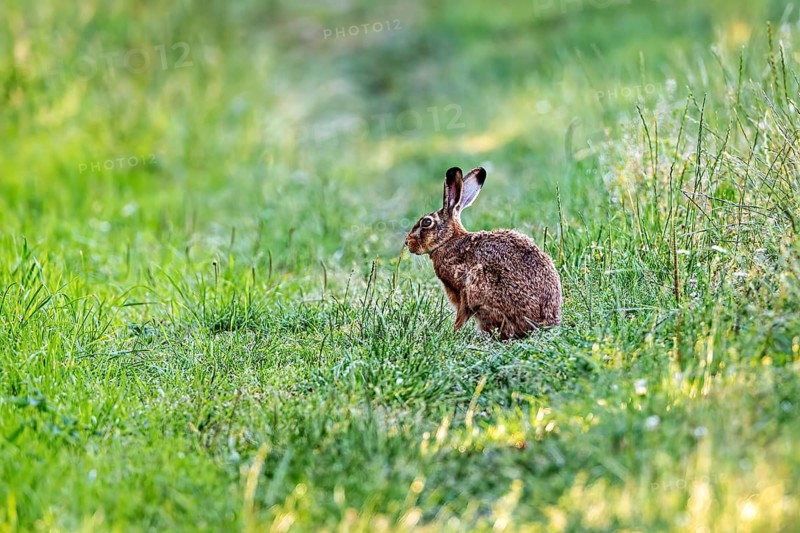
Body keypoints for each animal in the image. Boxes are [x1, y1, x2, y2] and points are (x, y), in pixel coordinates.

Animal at [405, 166, 562, 340]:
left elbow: (462, 313)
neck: (448, 239)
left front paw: (453, 332)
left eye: (426, 222)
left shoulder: (463, 288)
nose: (407, 242)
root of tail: (543, 322)